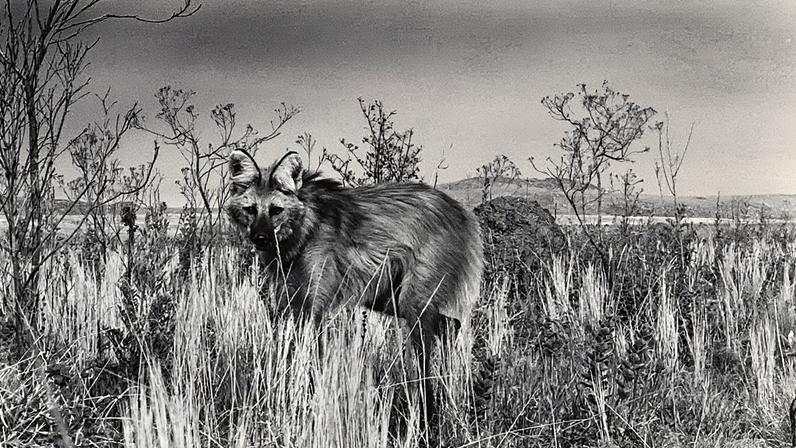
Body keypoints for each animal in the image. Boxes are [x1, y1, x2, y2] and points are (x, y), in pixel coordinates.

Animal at [225, 148, 483, 427]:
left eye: (275, 210)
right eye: (251, 210)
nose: (260, 238)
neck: (304, 228)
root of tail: (461, 210)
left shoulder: (314, 307)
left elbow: (314, 359)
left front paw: (315, 403)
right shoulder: (294, 303)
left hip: (412, 302)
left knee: (426, 353)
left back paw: (428, 414)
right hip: (389, 298)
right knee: (450, 326)